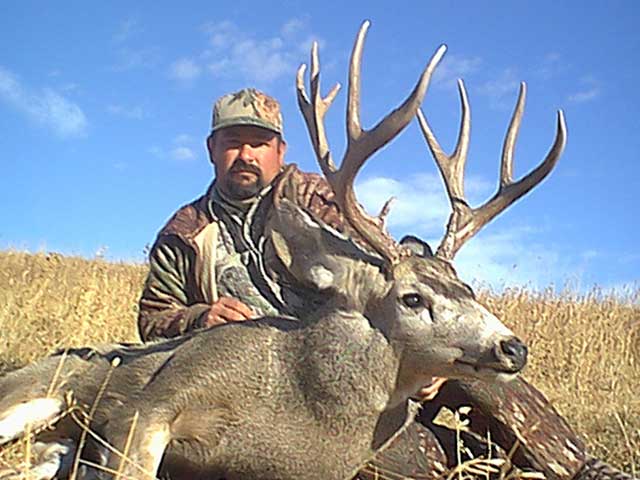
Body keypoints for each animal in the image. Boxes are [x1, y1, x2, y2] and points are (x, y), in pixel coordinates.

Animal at [0, 21, 565, 480]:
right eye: (412, 298)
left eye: (469, 289)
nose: (513, 347)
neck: (299, 405)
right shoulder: (150, 403)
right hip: (31, 392)